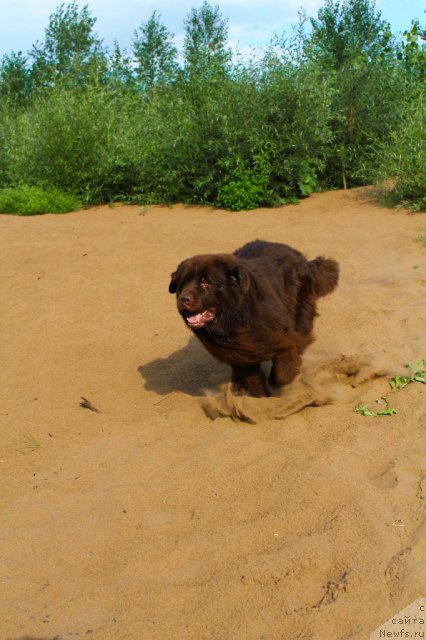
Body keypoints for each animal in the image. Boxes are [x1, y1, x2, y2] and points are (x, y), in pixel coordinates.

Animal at [170, 240, 340, 398]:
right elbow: (253, 381)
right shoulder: (241, 353)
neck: (236, 320)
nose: (184, 299)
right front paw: (262, 397)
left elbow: (283, 371)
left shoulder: (281, 336)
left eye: (206, 283)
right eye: (182, 284)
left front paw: (277, 381)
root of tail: (302, 259)